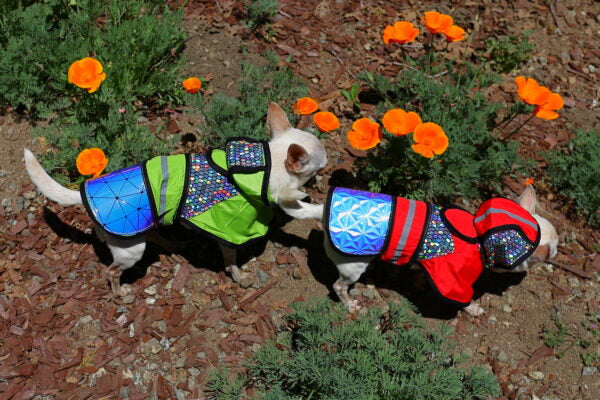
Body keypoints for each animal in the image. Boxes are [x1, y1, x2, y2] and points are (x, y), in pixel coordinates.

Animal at [25, 103, 328, 296]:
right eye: (320, 162)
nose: (329, 158)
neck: (265, 164)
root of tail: (83, 192)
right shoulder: (234, 230)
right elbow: (235, 258)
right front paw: (239, 276)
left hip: (143, 229)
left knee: (153, 235)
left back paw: (172, 243)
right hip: (130, 250)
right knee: (110, 272)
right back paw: (120, 292)